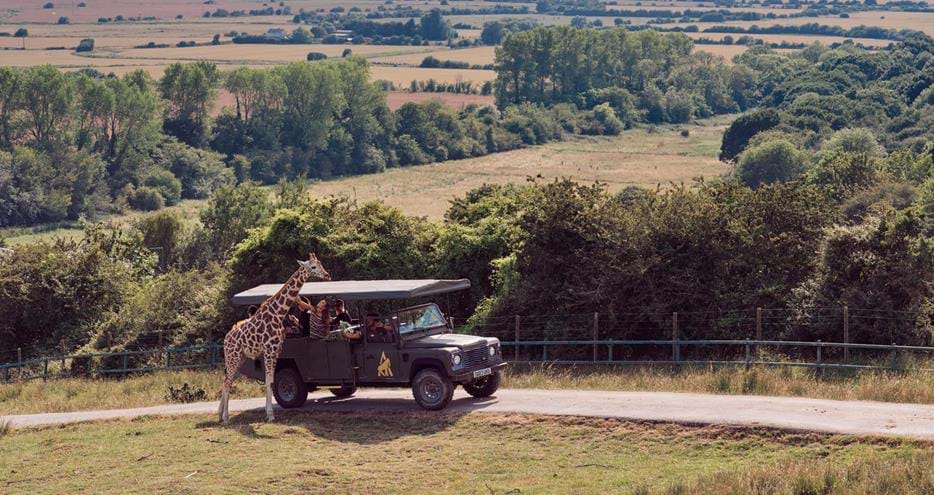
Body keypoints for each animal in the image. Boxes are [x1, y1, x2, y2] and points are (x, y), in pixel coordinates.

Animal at [218, 252, 330, 424]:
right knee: (227, 382)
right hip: (233, 357)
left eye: (320, 263)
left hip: (241, 357)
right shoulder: (269, 350)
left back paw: (220, 414)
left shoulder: (277, 351)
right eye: (313, 266)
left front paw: (268, 413)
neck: (278, 313)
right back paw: (225, 417)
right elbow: (269, 381)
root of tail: (225, 339)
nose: (327, 275)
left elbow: (269, 381)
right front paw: (270, 415)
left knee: (227, 381)